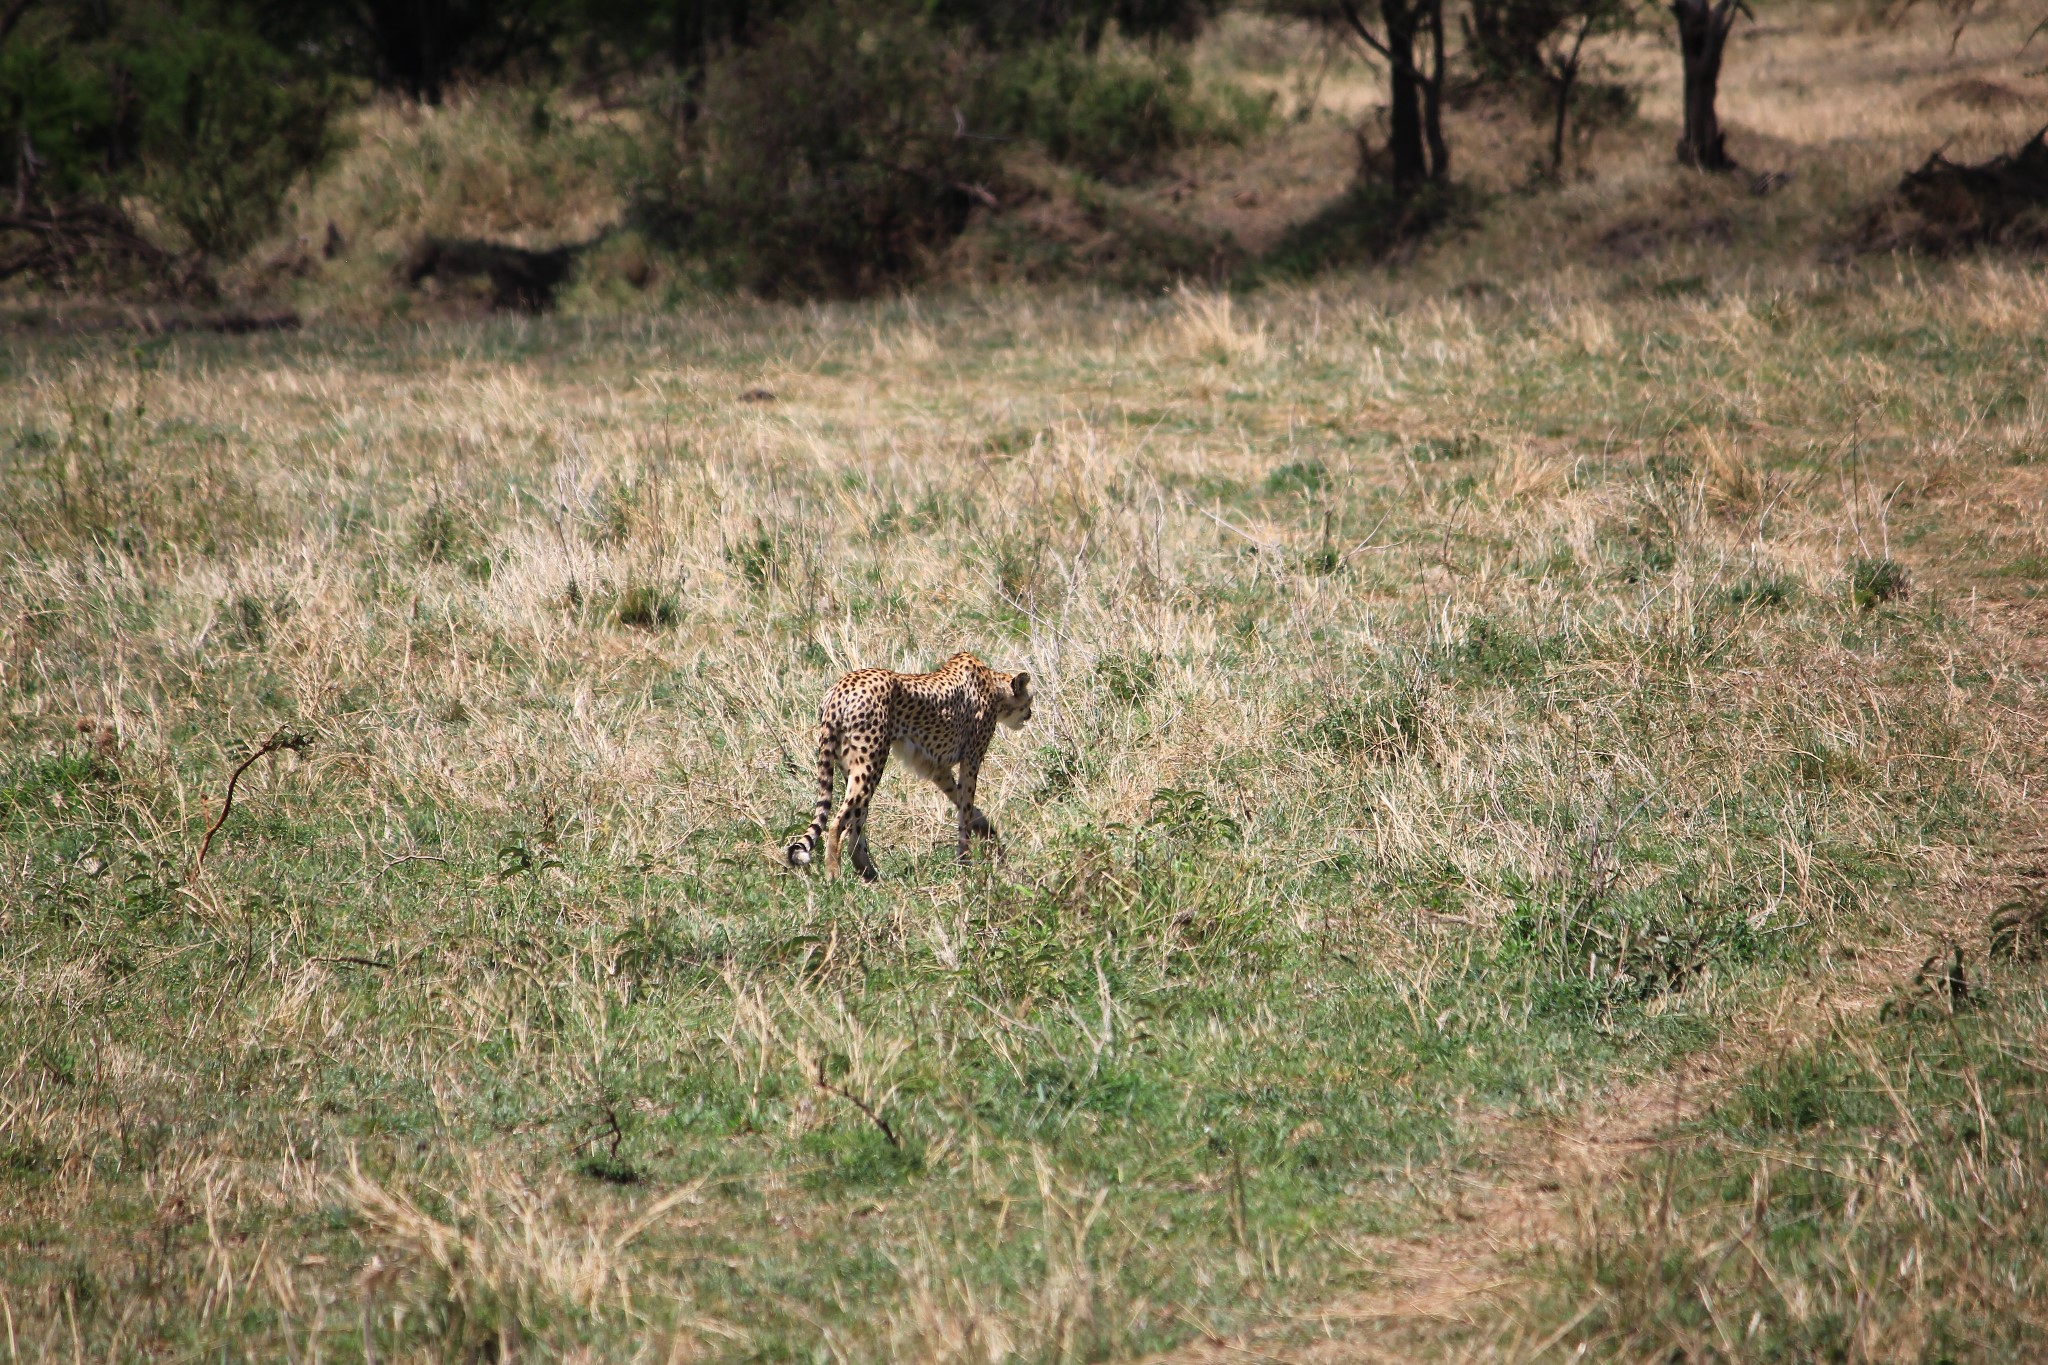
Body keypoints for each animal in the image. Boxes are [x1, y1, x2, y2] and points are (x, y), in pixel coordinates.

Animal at [786, 654, 1032, 888]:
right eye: (1029, 699)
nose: (1029, 714)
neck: (994, 686)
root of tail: (840, 688)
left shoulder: (938, 770)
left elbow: (966, 805)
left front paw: (988, 833)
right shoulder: (970, 760)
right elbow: (966, 808)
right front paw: (966, 862)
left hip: (853, 768)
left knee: (856, 819)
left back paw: (870, 874)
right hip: (870, 764)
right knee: (840, 822)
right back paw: (834, 875)